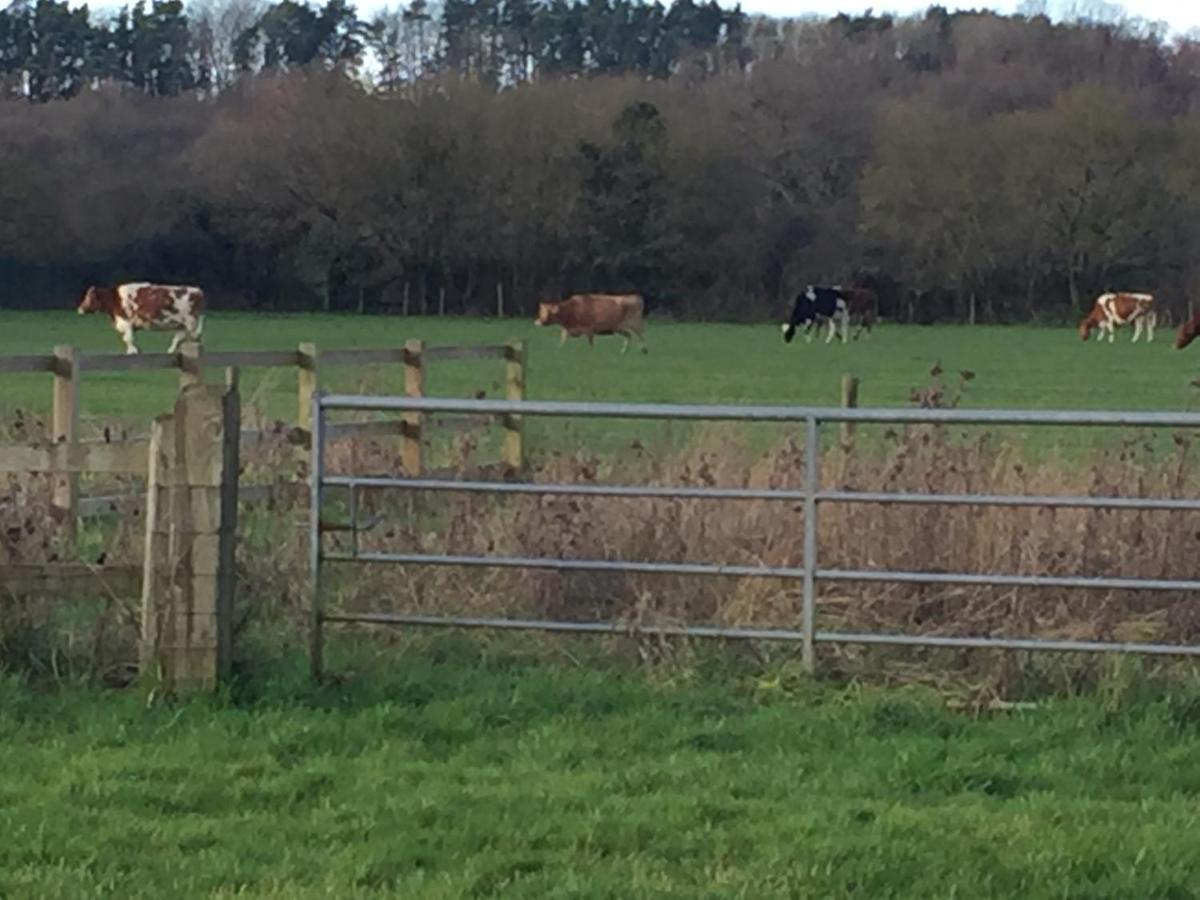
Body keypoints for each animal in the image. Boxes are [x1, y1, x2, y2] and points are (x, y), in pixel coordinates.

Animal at [77, 282, 205, 355]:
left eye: (88, 297)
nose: (80, 309)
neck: (115, 299)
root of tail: (197, 290)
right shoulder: (130, 325)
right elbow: (129, 339)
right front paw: (136, 350)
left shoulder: (126, 322)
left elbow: (128, 338)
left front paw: (132, 352)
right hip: (181, 325)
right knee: (178, 338)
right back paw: (170, 351)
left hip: (190, 323)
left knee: (194, 338)